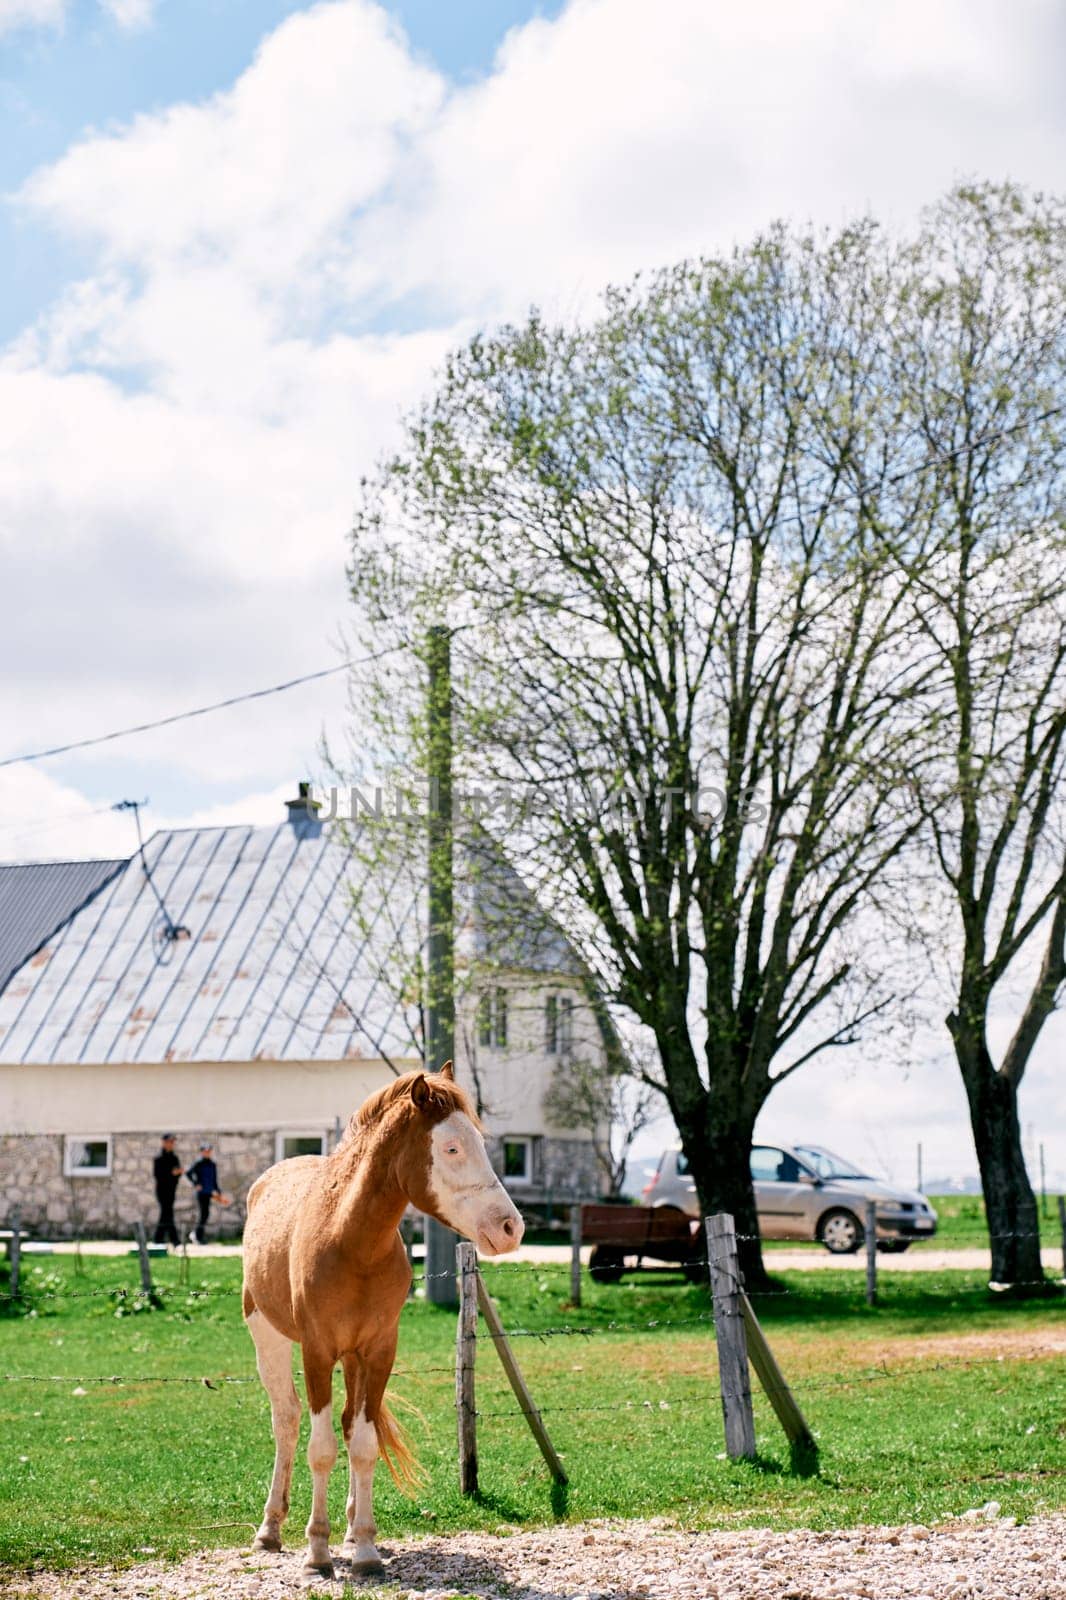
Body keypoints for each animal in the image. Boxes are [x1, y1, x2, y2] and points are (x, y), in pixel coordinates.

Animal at [241, 1068, 521, 1580]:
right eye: (452, 1148)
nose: (511, 1228)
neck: (351, 1241)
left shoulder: (378, 1351)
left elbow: (364, 1444)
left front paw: (366, 1549)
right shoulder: (316, 1351)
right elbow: (321, 1448)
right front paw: (317, 1553)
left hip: (353, 1359)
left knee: (351, 1426)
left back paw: (351, 1529)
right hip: (268, 1338)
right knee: (287, 1421)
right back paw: (270, 1529)